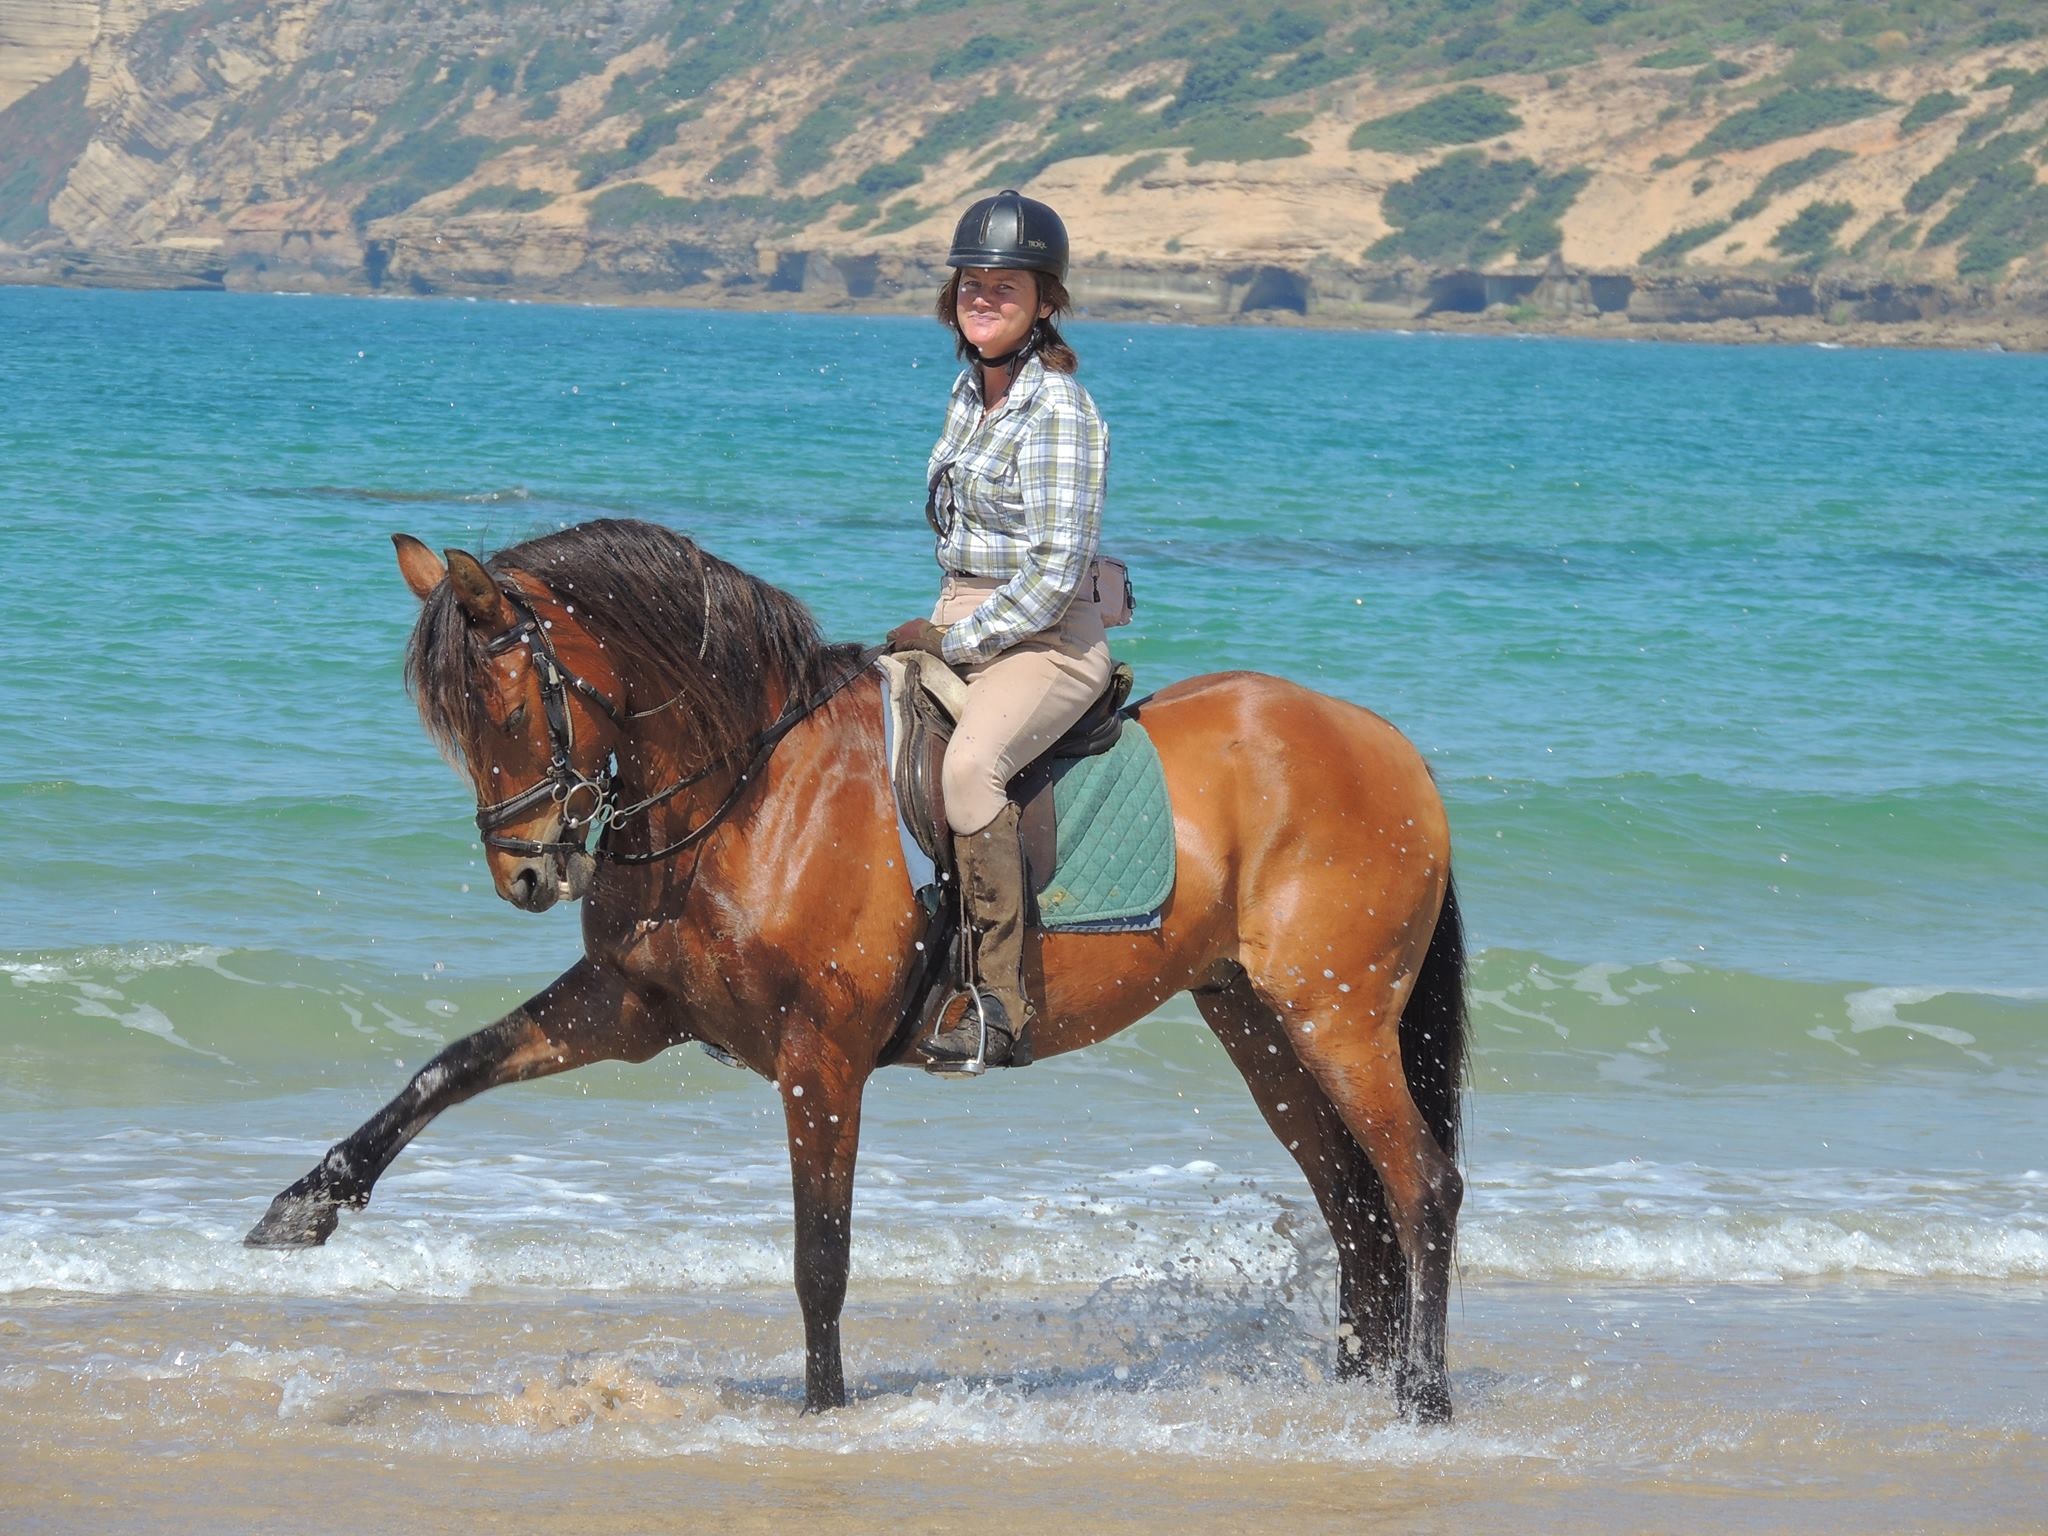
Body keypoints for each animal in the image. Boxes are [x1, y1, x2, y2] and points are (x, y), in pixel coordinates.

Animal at [246, 518, 1470, 1422]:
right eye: (454, 723)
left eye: (506, 710)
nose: (527, 874)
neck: (747, 790)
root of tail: (1391, 748)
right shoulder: (630, 1008)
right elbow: (450, 1067)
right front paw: (304, 1208)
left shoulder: (820, 1055)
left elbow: (819, 1254)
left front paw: (824, 1414)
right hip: (1254, 1022)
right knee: (1349, 1196)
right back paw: (1353, 1387)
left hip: (1336, 1019)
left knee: (1419, 1184)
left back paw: (1419, 1399)